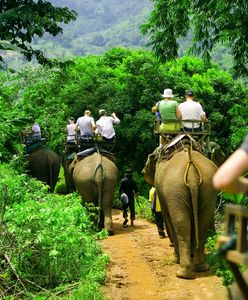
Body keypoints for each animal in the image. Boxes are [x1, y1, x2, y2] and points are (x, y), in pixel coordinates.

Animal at [143, 137, 217, 280]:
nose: (142, 171)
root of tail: (191, 166)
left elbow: (167, 217)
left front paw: (175, 258)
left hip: (174, 189)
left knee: (180, 224)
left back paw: (182, 273)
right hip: (208, 187)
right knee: (202, 223)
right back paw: (201, 267)